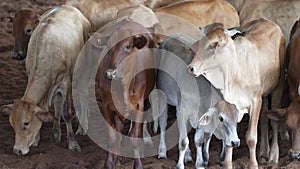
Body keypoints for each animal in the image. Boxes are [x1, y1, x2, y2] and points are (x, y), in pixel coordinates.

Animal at [1, 4, 90, 156]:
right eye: (12, 123)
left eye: (26, 123)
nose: (17, 150)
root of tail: (69, 6)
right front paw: (37, 139)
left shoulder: (65, 82)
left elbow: (66, 113)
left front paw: (73, 144)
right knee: (57, 103)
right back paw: (56, 133)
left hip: (83, 68)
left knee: (83, 93)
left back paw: (82, 128)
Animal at [186, 17, 284, 168]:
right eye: (201, 42)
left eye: (214, 44)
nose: (191, 68)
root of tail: (267, 20)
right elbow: (229, 137)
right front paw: (227, 164)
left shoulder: (256, 101)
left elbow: (251, 137)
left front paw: (253, 165)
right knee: (263, 118)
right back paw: (264, 151)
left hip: (278, 87)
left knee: (273, 121)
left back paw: (273, 156)